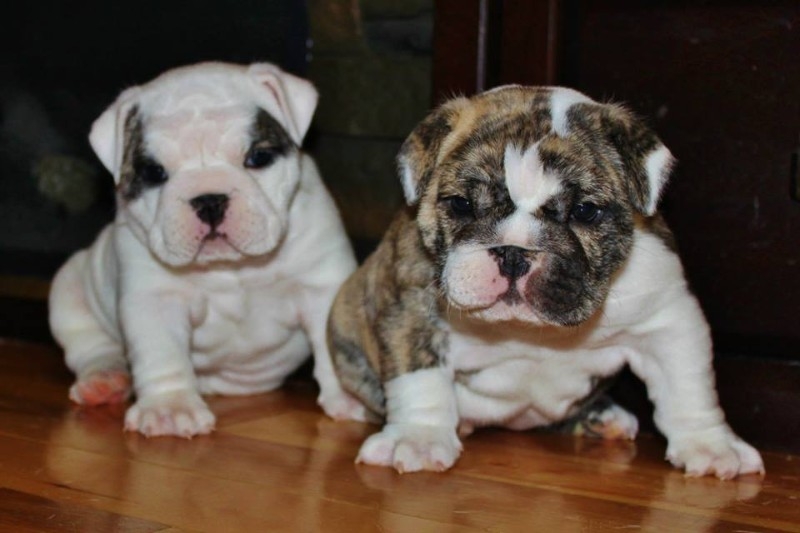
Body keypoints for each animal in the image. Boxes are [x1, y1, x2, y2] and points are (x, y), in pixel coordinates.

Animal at [51, 62, 358, 436]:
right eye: (154, 172)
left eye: (258, 157)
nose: (209, 200)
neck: (230, 267)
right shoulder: (157, 301)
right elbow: (163, 354)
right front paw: (170, 408)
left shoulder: (320, 287)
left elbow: (333, 342)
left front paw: (349, 394)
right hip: (69, 287)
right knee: (89, 344)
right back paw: (104, 379)